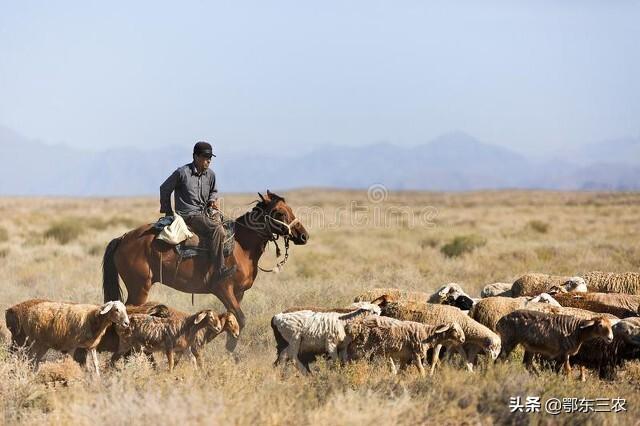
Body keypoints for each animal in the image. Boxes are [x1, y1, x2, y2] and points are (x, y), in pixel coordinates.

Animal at [101, 190, 308, 350]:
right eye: (279, 213)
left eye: (289, 209)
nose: (303, 235)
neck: (241, 246)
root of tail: (123, 237)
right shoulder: (223, 289)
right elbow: (241, 318)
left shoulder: (238, 293)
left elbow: (234, 319)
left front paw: (230, 350)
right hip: (139, 288)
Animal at [372, 298, 502, 372]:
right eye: (494, 346)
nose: (494, 359)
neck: (464, 323)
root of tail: (387, 307)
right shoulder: (439, 341)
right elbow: (435, 359)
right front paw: (431, 373)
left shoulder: (453, 344)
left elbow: (463, 356)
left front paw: (470, 372)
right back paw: (393, 369)